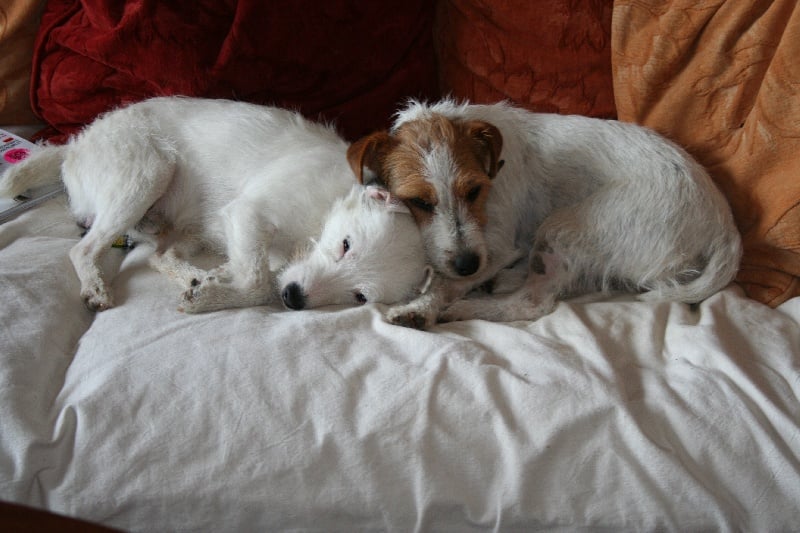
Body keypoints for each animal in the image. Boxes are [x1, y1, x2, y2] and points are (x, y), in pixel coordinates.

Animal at [0, 96, 429, 313]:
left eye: (361, 296)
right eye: (345, 245)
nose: (294, 298)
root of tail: (72, 147)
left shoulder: (240, 231)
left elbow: (254, 273)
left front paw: (214, 284)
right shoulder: (248, 212)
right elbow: (258, 282)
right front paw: (216, 295)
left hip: (190, 224)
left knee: (160, 255)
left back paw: (192, 274)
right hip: (148, 172)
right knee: (83, 249)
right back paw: (95, 285)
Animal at [347, 99, 743, 329]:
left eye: (473, 190)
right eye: (420, 202)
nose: (468, 265)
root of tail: (725, 225)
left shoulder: (500, 246)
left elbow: (447, 283)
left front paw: (422, 307)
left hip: (564, 227)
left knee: (534, 302)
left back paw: (468, 307)